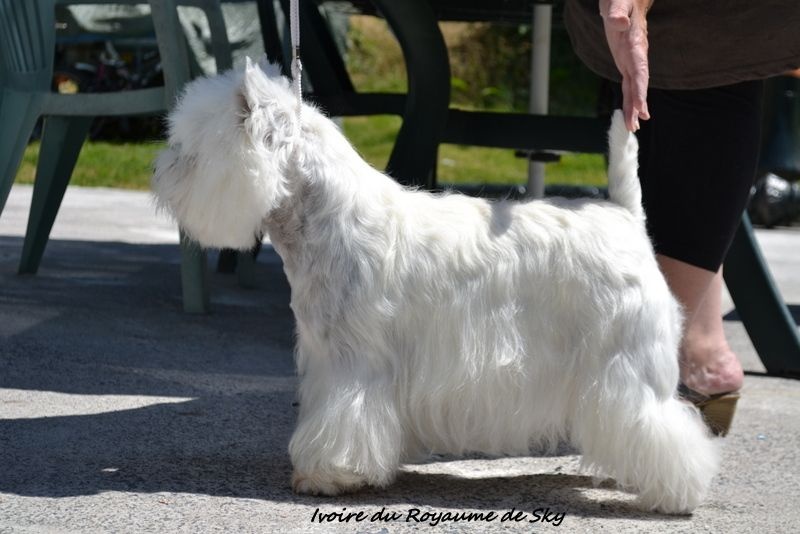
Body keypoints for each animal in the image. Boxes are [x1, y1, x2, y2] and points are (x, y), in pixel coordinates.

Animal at [152, 58, 720, 516]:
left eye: (191, 147)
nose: (160, 172)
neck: (323, 218)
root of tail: (626, 217)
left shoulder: (352, 362)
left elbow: (343, 420)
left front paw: (325, 475)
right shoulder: (328, 356)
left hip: (627, 362)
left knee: (661, 423)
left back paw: (675, 495)